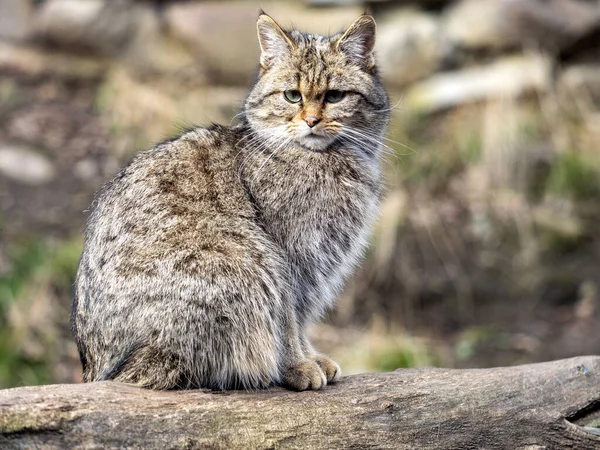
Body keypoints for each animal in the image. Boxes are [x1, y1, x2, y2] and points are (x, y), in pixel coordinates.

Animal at [71, 10, 390, 390]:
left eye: (335, 96)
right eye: (292, 96)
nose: (312, 121)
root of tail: (96, 371)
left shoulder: (312, 268)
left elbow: (300, 317)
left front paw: (311, 357)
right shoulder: (288, 257)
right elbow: (288, 319)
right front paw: (298, 365)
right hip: (244, 261)